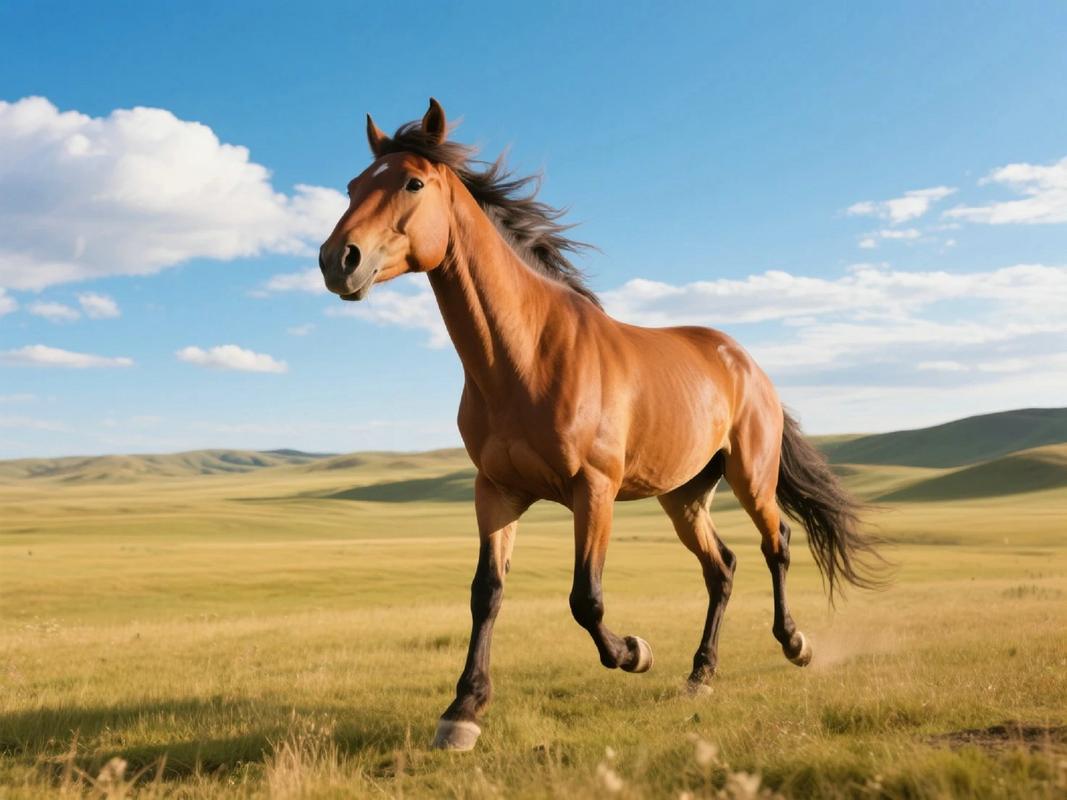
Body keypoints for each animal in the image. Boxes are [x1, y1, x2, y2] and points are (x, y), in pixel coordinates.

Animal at [318, 99, 884, 751]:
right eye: (353, 186)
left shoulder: (594, 491)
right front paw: (463, 710)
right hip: (683, 496)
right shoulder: (496, 491)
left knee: (778, 544)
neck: (525, 356)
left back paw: (795, 645)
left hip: (750, 478)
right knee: (721, 568)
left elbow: (585, 600)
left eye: (412, 183)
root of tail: (744, 361)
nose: (338, 260)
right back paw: (701, 674)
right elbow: (487, 594)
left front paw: (636, 652)